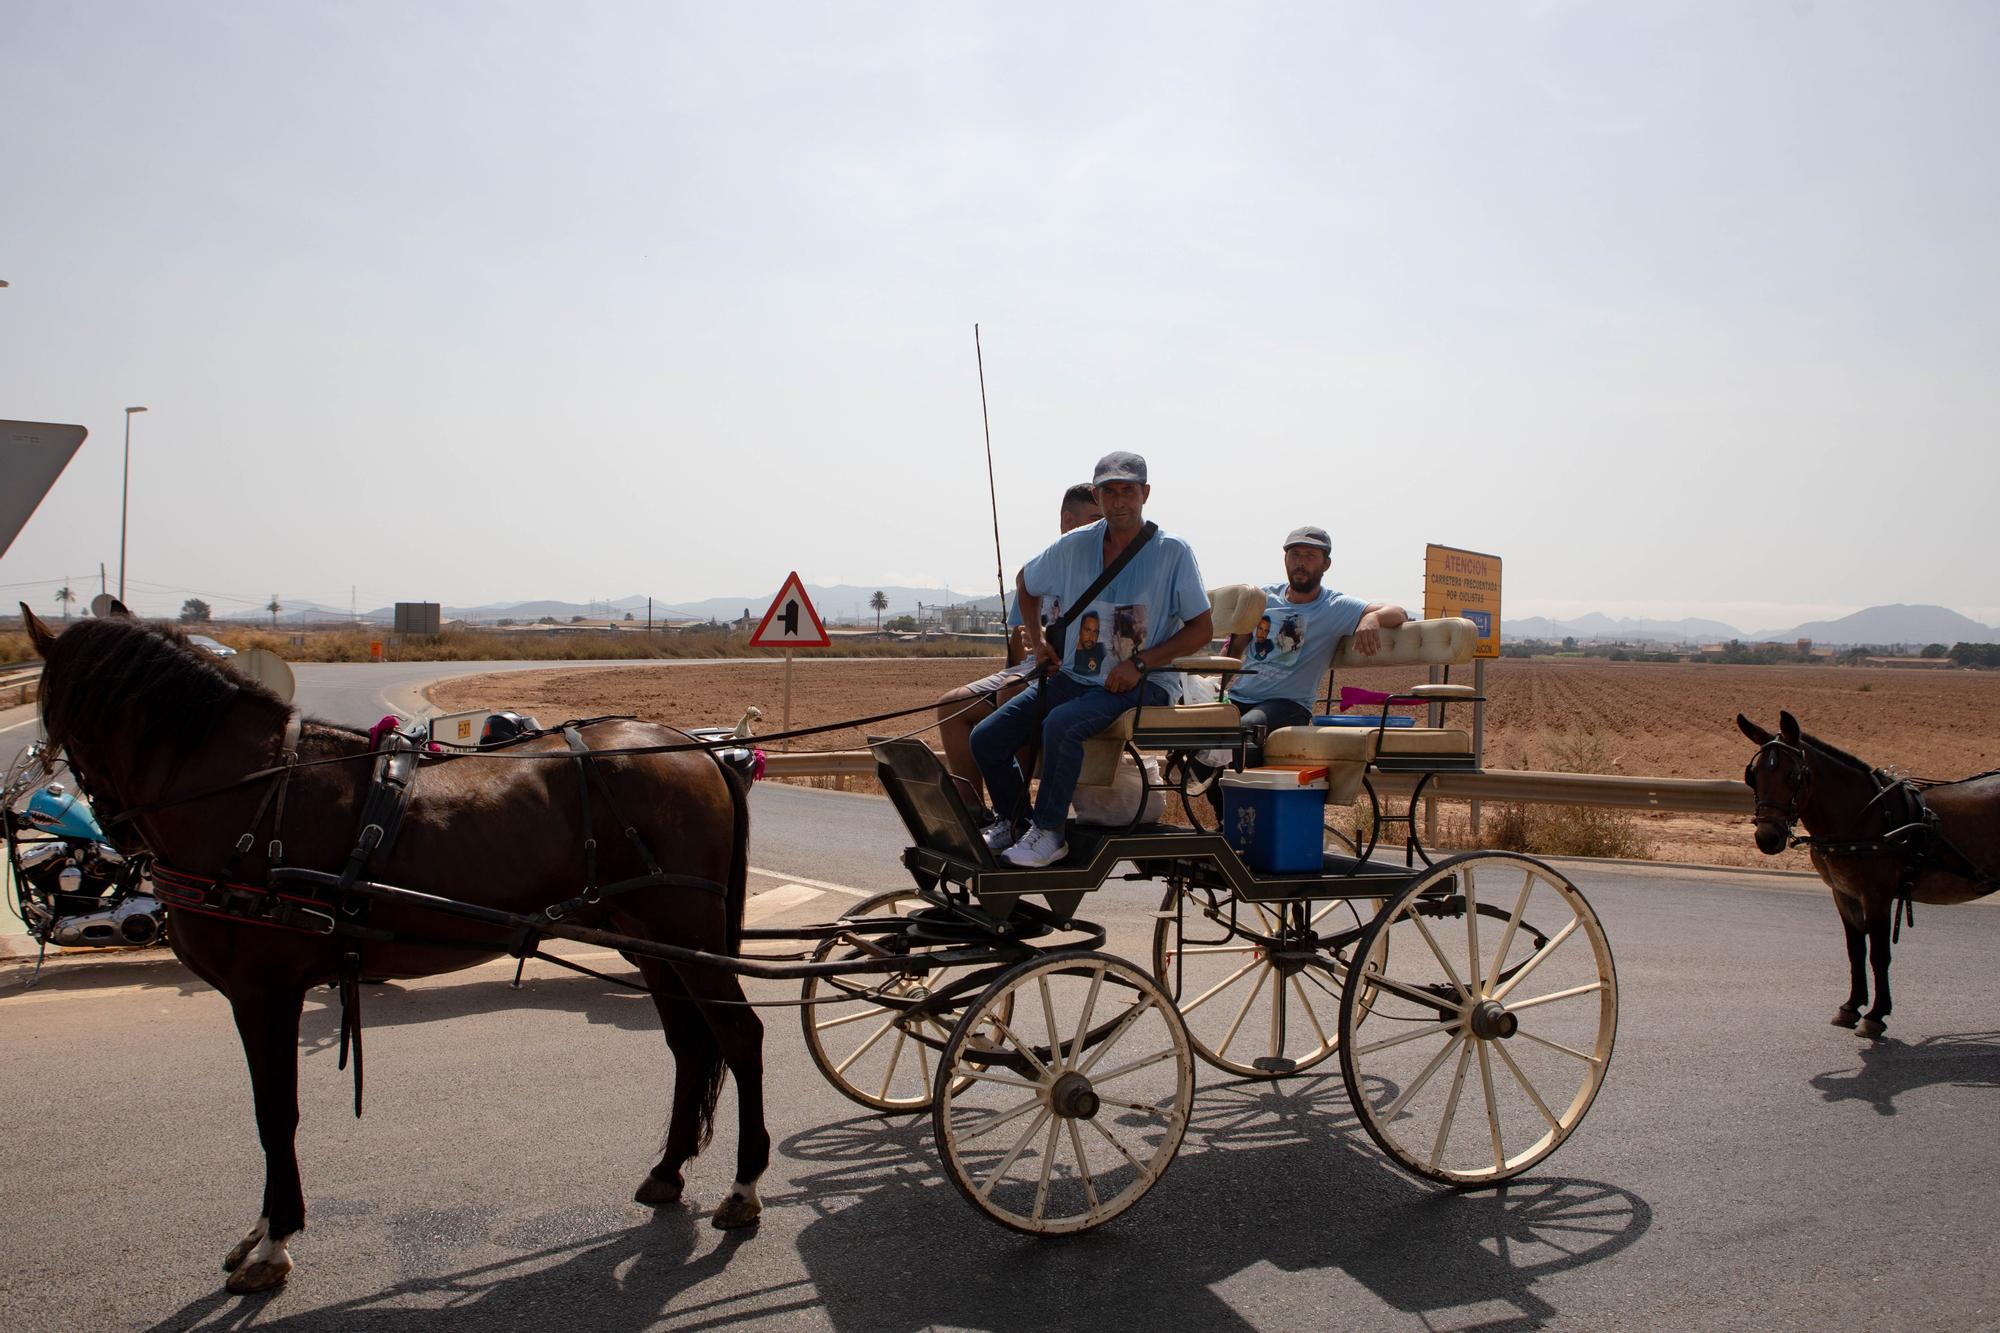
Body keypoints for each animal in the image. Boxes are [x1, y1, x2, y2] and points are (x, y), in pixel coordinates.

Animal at [23, 608, 772, 1288]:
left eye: (54, 716)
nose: (114, 833)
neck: (252, 798)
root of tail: (695, 748)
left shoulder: (264, 991)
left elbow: (275, 1111)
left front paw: (275, 1240)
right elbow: (269, 1111)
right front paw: (263, 1230)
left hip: (685, 931)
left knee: (740, 1036)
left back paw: (745, 1186)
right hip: (652, 941)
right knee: (691, 1044)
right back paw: (668, 1170)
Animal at [1736, 716, 2000, 1040]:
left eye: (1794, 776)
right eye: (1752, 775)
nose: (1767, 837)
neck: (1861, 817)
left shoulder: (1877, 896)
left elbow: (1879, 954)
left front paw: (1876, 1015)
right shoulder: (1843, 893)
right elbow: (1856, 950)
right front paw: (1851, 1006)